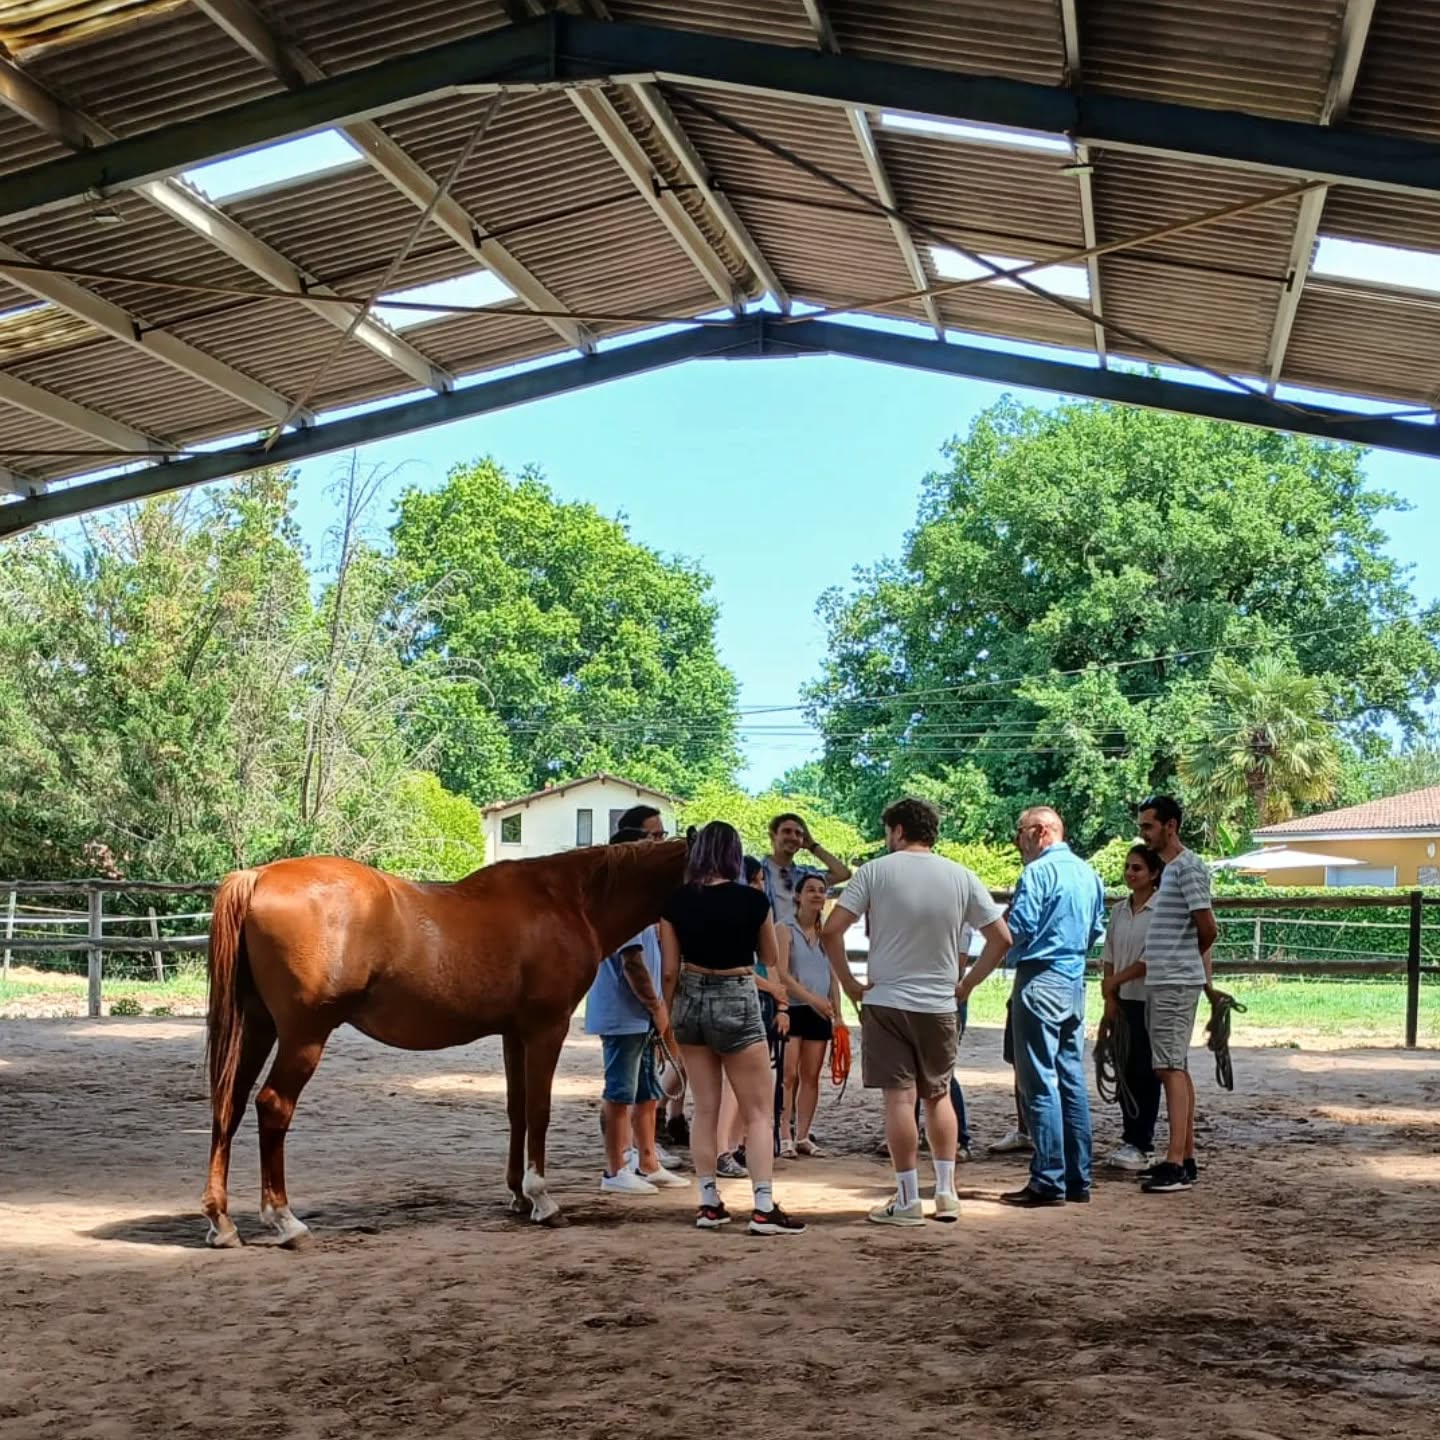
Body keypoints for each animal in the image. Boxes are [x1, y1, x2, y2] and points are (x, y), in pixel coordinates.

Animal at [201, 838, 688, 1247]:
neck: (568, 901)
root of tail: (258, 876)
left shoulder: (514, 1034)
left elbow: (516, 1110)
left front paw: (517, 1195)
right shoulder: (546, 1030)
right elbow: (539, 1111)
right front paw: (542, 1200)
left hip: (259, 1028)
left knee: (230, 1104)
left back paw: (222, 1222)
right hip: (304, 1036)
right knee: (272, 1106)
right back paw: (285, 1221)